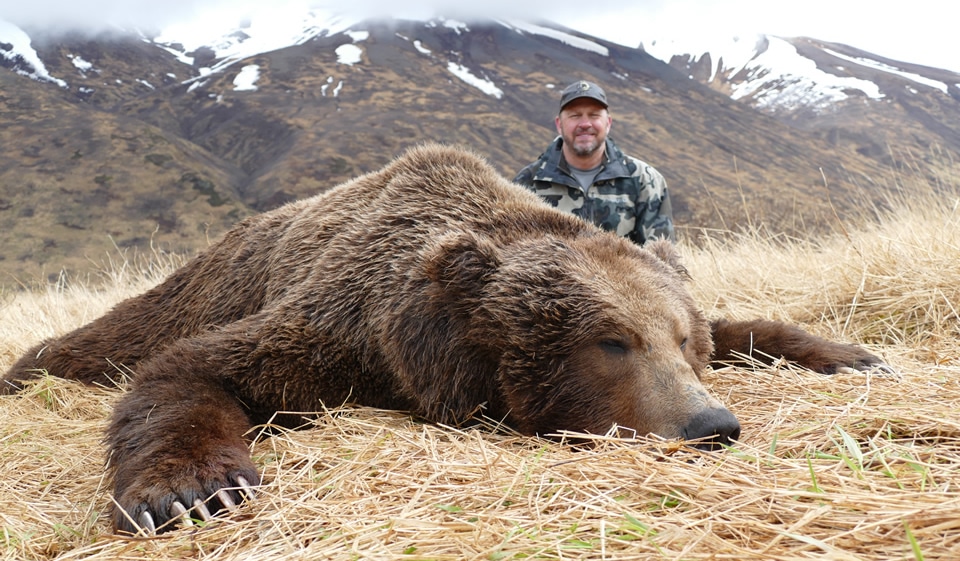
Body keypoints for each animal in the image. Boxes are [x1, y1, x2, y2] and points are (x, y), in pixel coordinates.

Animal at [0, 143, 888, 532]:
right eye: (611, 341)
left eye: (681, 340)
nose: (711, 423)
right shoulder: (336, 329)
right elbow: (191, 371)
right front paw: (190, 487)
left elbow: (751, 321)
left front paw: (851, 352)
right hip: (197, 282)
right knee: (109, 336)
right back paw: (25, 368)